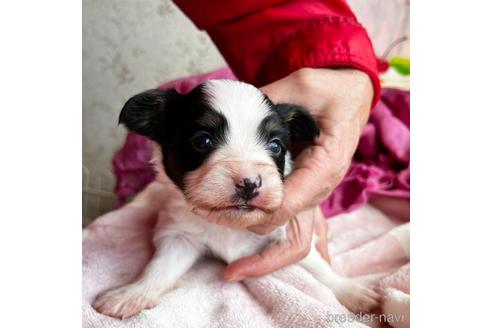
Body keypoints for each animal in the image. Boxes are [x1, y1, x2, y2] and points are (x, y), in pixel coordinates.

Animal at [93, 80, 380, 320]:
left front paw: (351, 291)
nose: (249, 183)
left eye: (276, 145)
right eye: (202, 141)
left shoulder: (287, 236)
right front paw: (131, 294)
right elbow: (160, 267)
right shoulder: (180, 236)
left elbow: (318, 268)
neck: (230, 223)